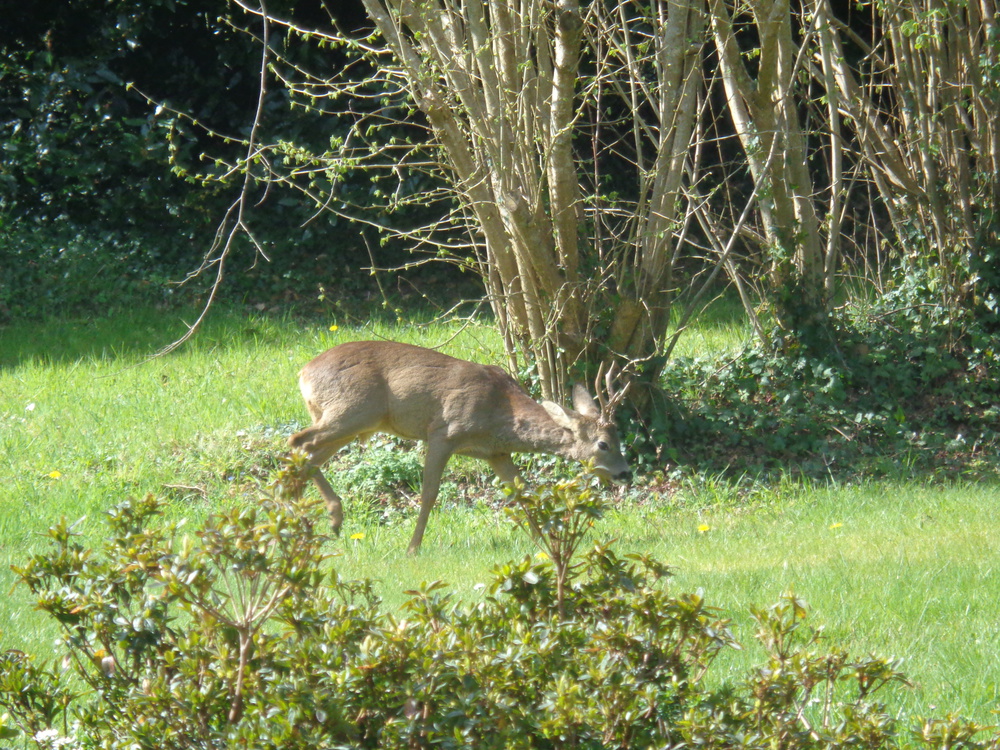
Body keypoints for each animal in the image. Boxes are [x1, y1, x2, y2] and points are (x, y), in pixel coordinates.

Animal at [290, 344, 628, 556]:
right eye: (603, 444)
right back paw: (317, 516)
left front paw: (543, 540)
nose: (626, 473)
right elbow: (429, 493)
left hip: (350, 420)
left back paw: (301, 519)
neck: (500, 412)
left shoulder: (496, 453)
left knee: (308, 453)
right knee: (299, 442)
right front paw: (412, 548)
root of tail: (303, 372)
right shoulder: (443, 432)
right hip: (353, 411)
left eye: (619, 436)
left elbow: (522, 492)